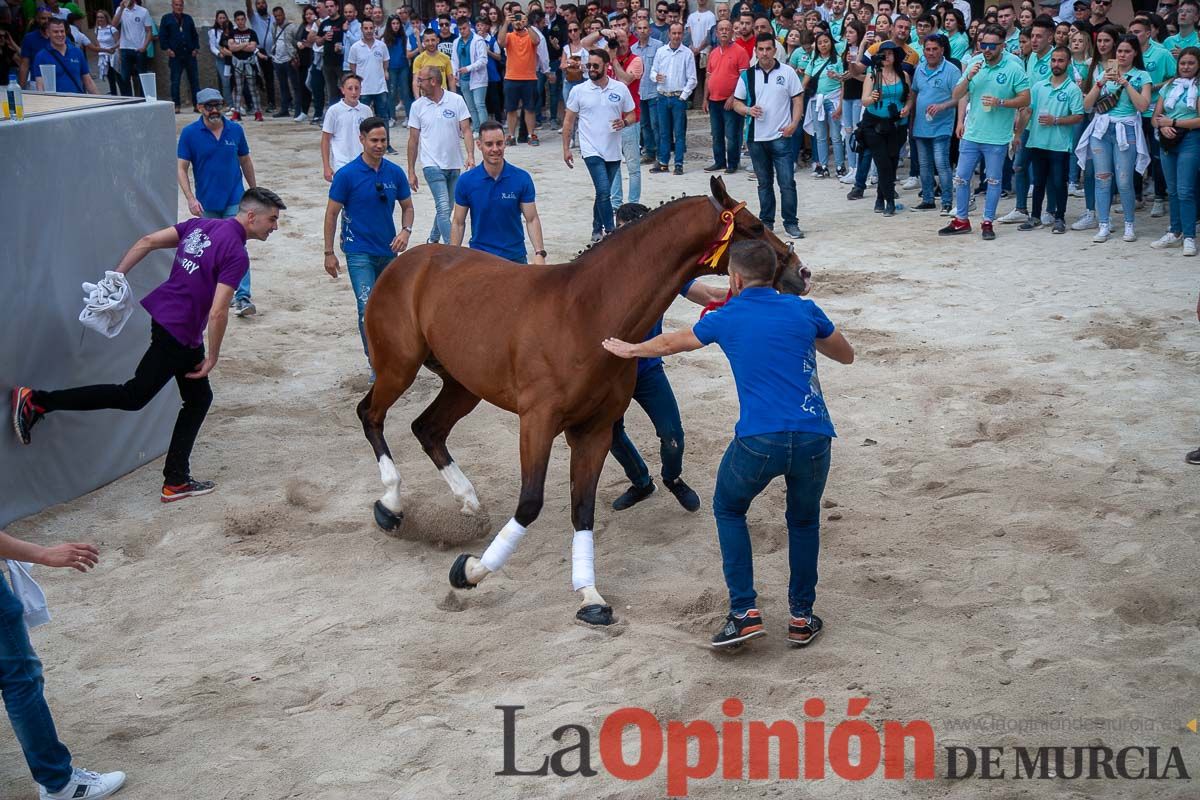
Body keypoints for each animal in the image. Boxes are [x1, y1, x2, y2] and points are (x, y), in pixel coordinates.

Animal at [355, 178, 806, 628]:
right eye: (752, 227)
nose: (800, 273)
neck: (586, 312)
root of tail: (405, 261)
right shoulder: (537, 422)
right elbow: (530, 503)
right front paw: (470, 572)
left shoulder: (595, 431)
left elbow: (583, 509)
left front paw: (589, 595)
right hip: (399, 367)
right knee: (371, 415)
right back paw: (391, 505)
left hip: (463, 384)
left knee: (428, 429)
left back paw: (468, 503)